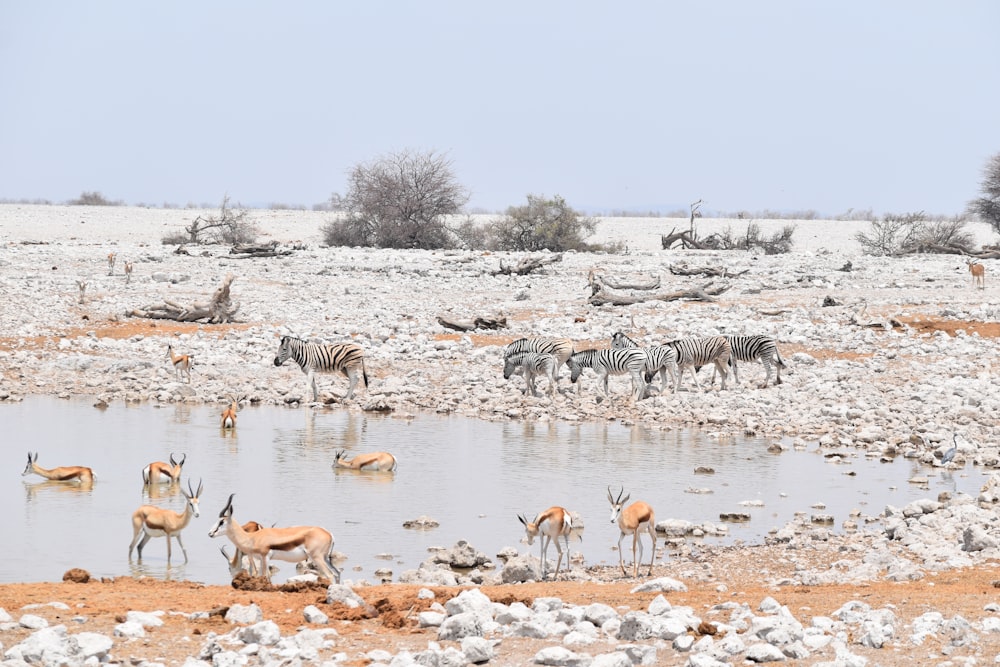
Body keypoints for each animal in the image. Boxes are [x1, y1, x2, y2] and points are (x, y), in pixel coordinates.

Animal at [207, 494, 340, 580]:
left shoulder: (265, 557)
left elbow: (265, 575)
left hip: (317, 558)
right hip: (326, 558)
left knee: (330, 575)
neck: (252, 537)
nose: (210, 533)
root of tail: (329, 533)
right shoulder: (259, 559)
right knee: (337, 573)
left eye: (221, 521)